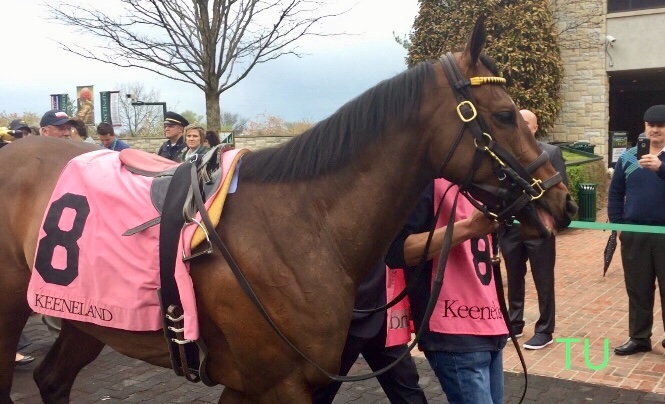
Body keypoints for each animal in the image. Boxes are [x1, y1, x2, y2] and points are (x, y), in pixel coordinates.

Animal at [0, 20, 572, 404]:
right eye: (504, 115)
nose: (561, 200)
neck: (305, 224)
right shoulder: (279, 385)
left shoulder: (253, 385)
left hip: (86, 319)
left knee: (53, 379)